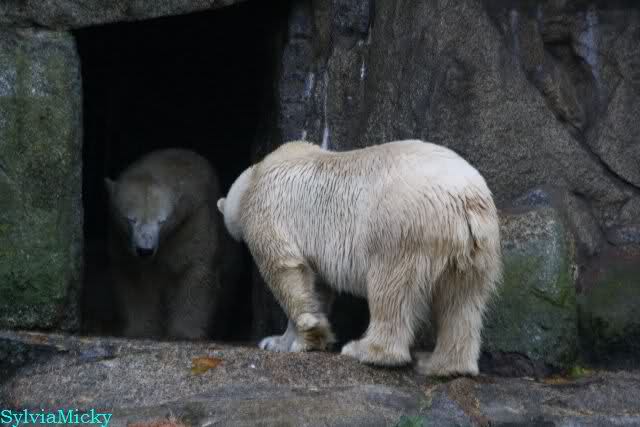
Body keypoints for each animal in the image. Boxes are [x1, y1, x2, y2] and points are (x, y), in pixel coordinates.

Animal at [105, 148, 229, 340]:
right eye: (131, 219)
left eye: (161, 221)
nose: (145, 250)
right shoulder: (120, 240)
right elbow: (134, 279)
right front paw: (141, 331)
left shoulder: (193, 221)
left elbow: (194, 271)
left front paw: (184, 332)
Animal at [217, 139, 502, 376]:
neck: (256, 176)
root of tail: (465, 200)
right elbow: (317, 286)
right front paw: (284, 341)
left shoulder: (267, 213)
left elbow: (286, 270)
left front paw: (298, 336)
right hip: (475, 248)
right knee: (461, 301)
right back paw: (441, 364)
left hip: (401, 229)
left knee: (390, 290)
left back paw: (365, 350)